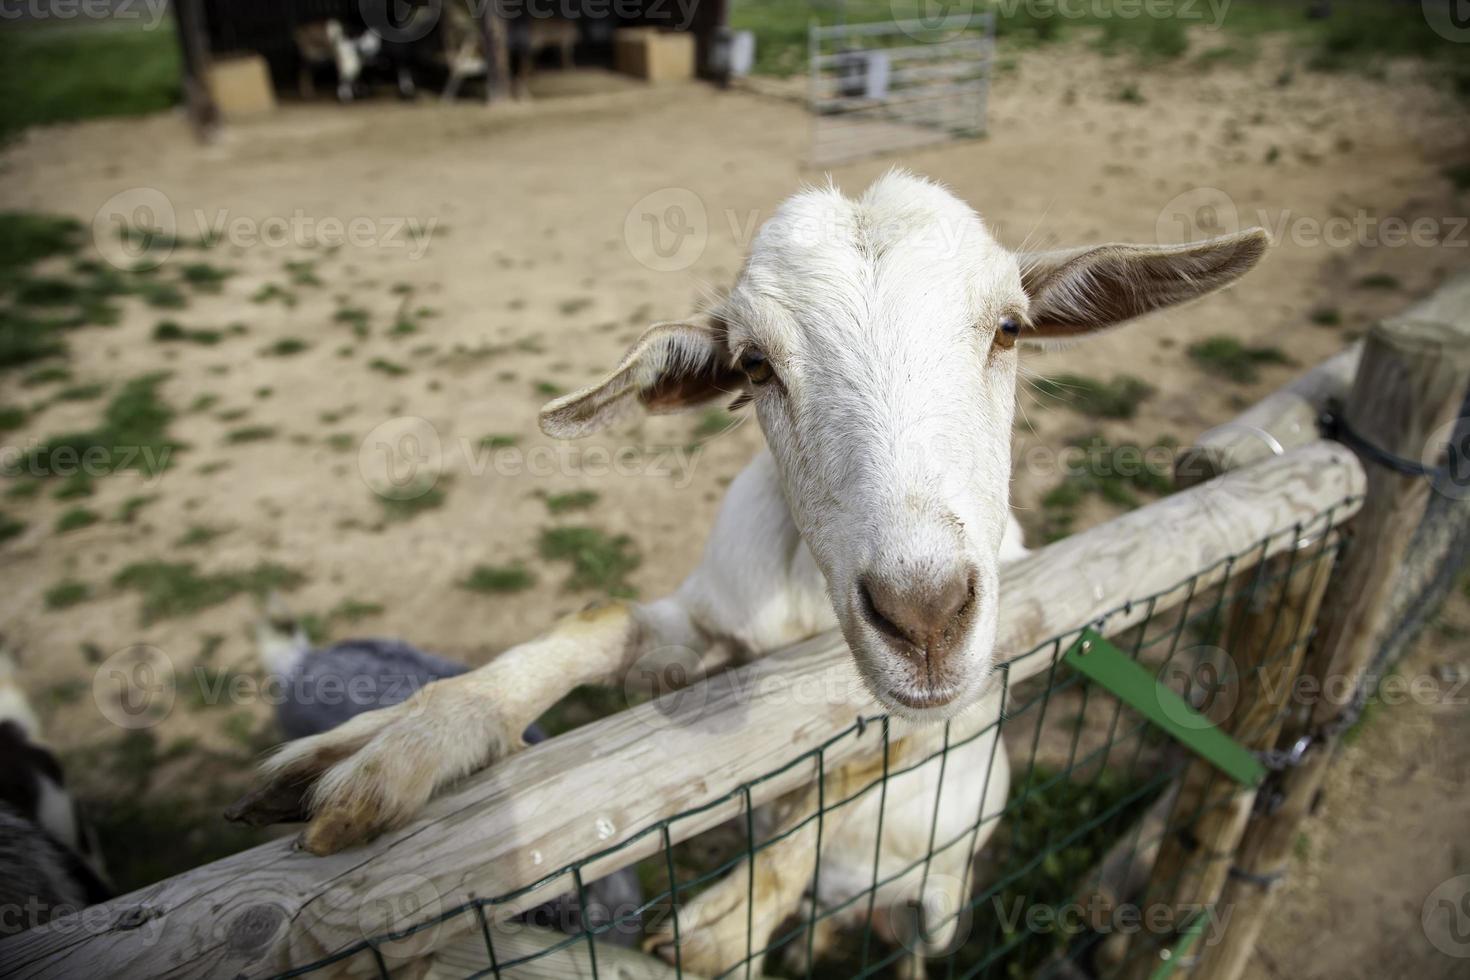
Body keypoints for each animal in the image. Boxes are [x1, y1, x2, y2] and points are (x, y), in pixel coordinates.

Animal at [232, 172, 1264, 975]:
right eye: (757, 363)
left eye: (1009, 328)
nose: (924, 617)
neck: (806, 606)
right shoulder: (710, 645)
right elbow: (601, 619)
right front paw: (387, 749)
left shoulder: (970, 688)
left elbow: (854, 764)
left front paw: (723, 926)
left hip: (942, 895)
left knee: (917, 943)